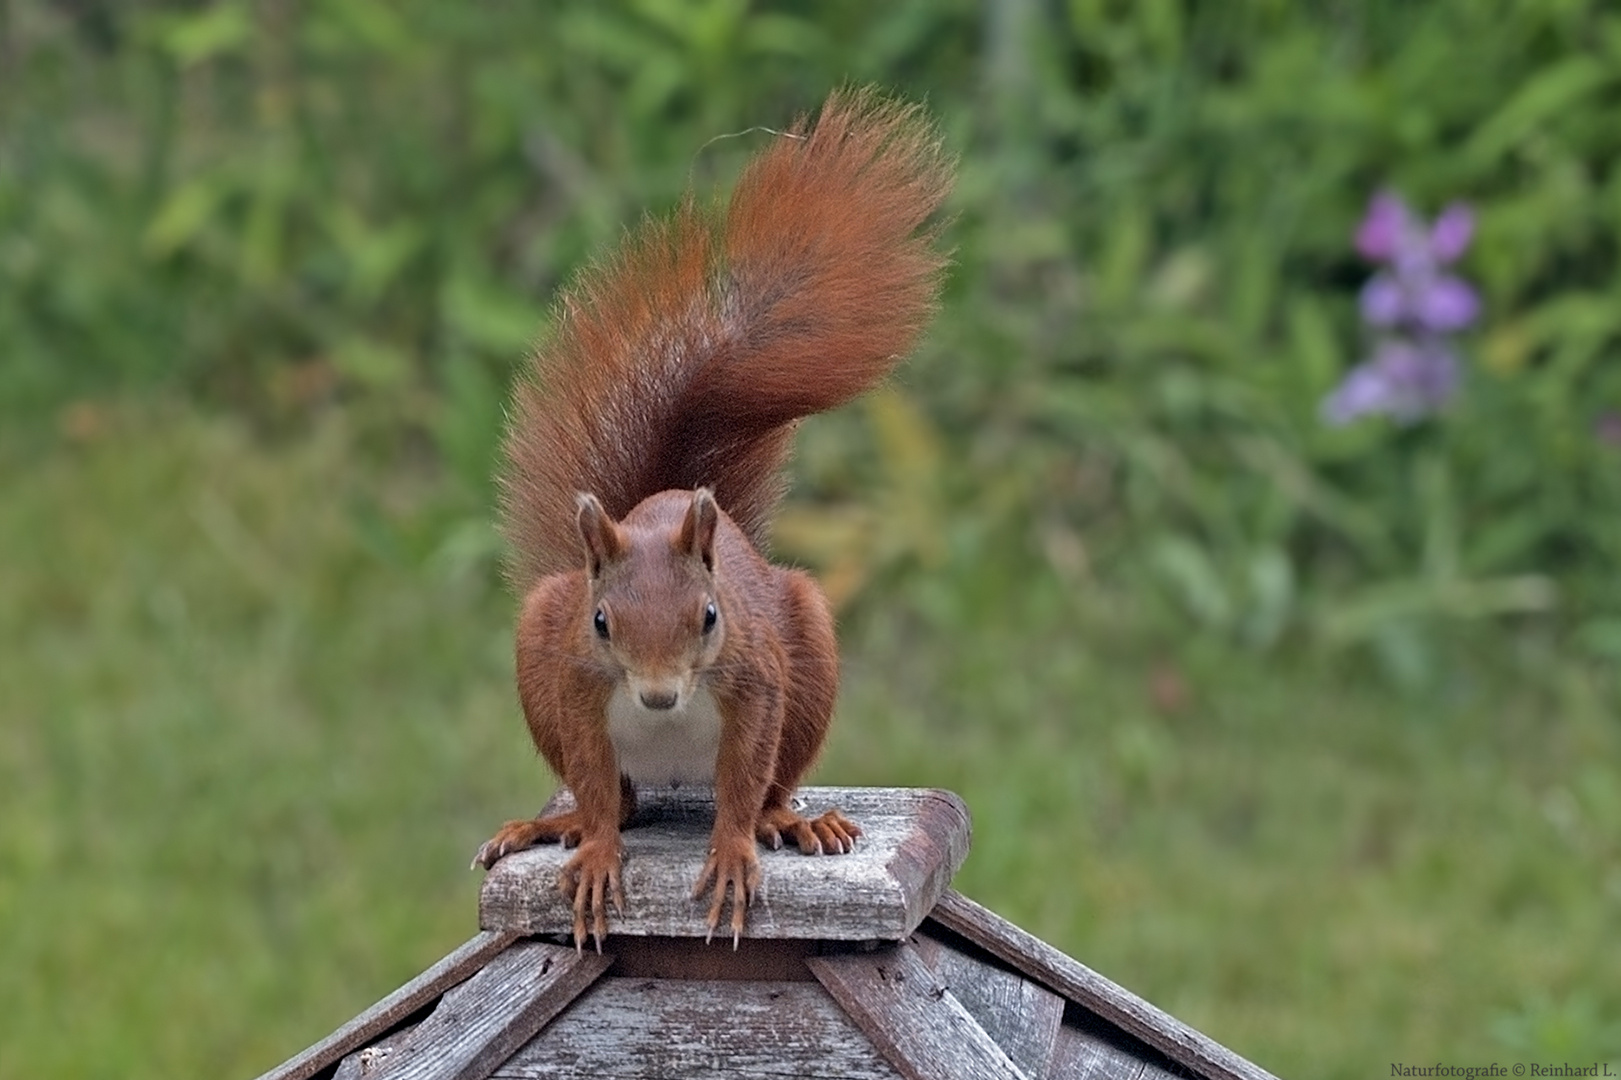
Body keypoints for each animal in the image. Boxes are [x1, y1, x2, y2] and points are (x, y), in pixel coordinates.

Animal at [473, 92, 946, 953]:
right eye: (600, 621)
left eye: (710, 616)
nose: (659, 696)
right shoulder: (573, 682)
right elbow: (596, 787)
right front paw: (596, 855)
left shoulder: (755, 678)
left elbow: (743, 774)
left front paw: (729, 854)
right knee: (620, 800)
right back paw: (549, 826)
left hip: (808, 660)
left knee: (766, 785)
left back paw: (792, 822)